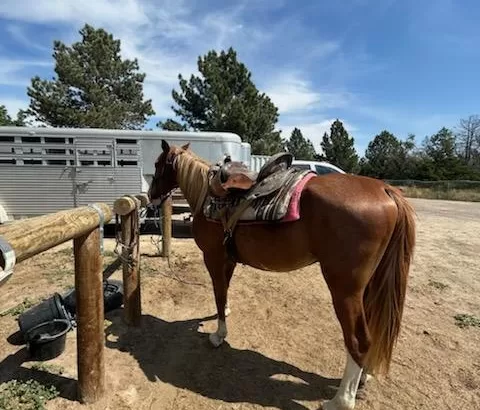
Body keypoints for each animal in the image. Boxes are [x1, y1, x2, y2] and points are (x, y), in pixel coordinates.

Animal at [147, 139, 416, 408]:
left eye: (158, 164)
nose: (151, 196)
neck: (207, 196)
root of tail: (385, 189)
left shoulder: (213, 257)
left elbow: (218, 292)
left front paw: (218, 335)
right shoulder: (228, 259)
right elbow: (223, 290)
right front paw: (224, 315)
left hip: (345, 290)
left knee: (359, 341)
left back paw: (341, 400)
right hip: (370, 286)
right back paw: (364, 377)